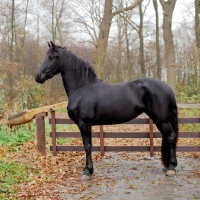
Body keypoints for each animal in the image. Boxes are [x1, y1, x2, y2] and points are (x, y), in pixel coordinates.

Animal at [35, 41, 178, 179]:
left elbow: (87, 146)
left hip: (162, 120)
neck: (82, 88)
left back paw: (171, 168)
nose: (38, 76)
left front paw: (88, 171)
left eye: (51, 57)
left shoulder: (84, 124)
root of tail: (169, 89)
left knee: (171, 137)